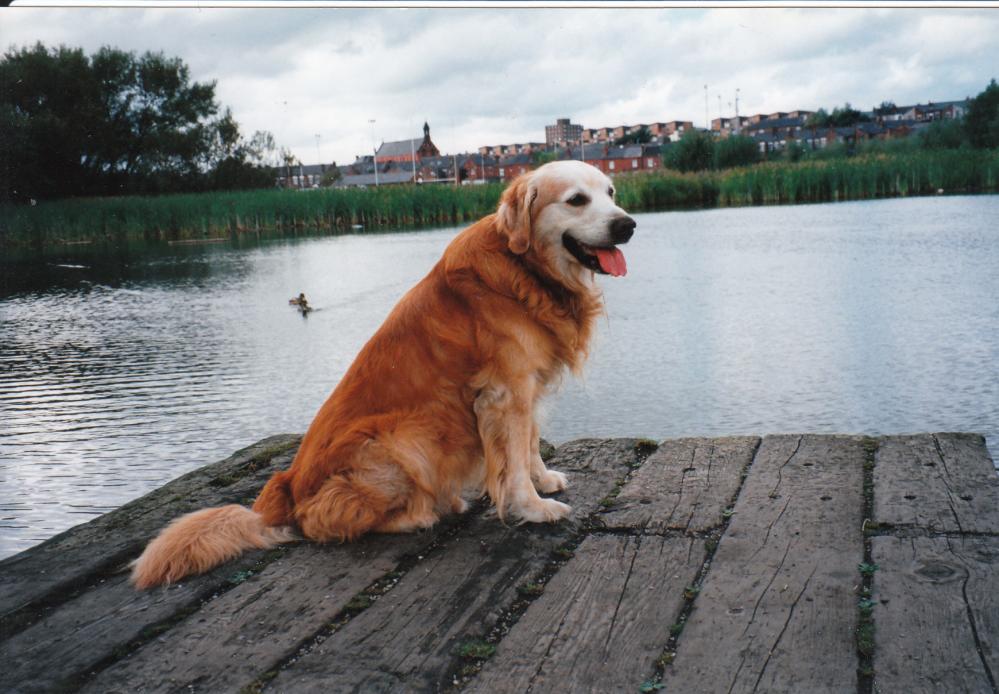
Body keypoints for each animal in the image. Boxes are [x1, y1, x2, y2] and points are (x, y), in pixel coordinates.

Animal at [133, 160, 636, 588]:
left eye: (611, 193)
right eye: (576, 200)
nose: (626, 225)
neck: (526, 270)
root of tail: (283, 492)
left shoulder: (527, 386)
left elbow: (528, 442)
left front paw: (543, 479)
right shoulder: (504, 392)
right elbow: (510, 462)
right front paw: (533, 507)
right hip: (406, 437)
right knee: (327, 524)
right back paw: (427, 510)